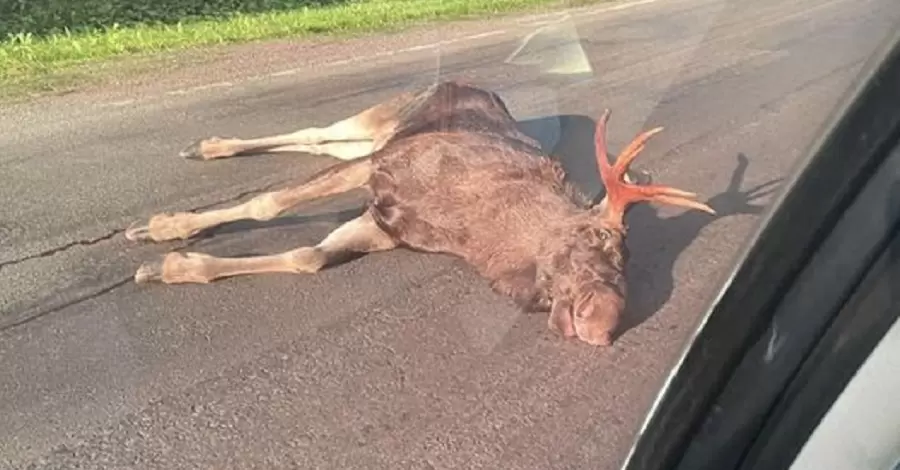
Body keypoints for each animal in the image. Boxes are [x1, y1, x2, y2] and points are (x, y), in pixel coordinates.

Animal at [125, 80, 716, 346]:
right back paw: (206, 147)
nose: (605, 324)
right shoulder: (382, 169)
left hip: (373, 135)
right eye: (603, 243)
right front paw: (163, 228)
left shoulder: (384, 224)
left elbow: (306, 257)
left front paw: (171, 266)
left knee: (320, 140)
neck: (479, 236)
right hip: (381, 123)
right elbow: (270, 203)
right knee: (317, 130)